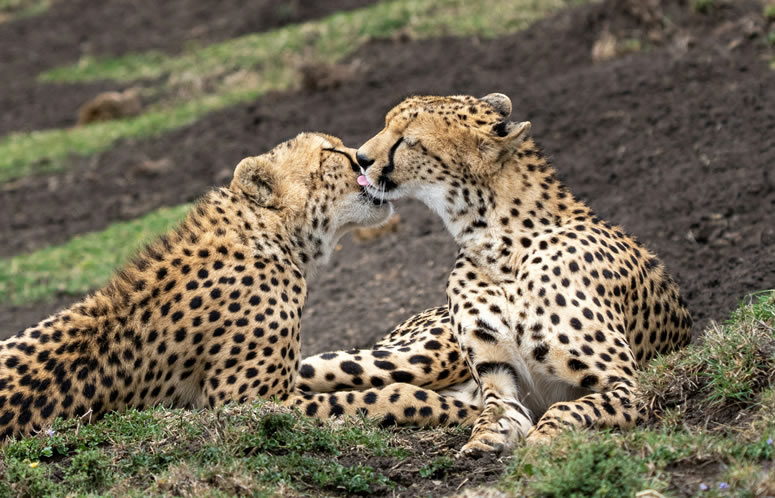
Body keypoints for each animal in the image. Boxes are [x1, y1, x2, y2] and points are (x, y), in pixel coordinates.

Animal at [0, 132, 480, 440]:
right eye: (331, 152)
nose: (363, 158)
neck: (268, 233)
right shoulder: (243, 401)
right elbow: (384, 395)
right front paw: (459, 409)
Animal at [352, 93, 693, 456]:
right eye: (387, 124)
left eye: (408, 140)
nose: (360, 158)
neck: (497, 247)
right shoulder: (499, 381)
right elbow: (494, 416)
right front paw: (484, 442)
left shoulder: (631, 385)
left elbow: (568, 407)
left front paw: (542, 442)